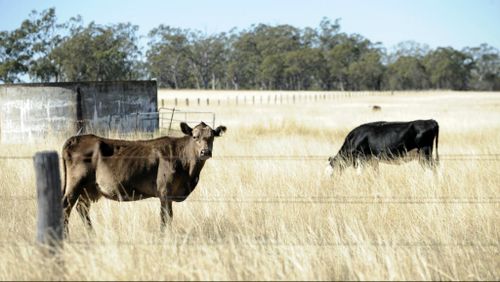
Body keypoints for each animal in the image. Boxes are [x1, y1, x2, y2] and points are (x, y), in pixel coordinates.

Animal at [61, 121, 227, 234]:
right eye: (194, 136)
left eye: (211, 137)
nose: (205, 152)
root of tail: (76, 139)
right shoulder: (165, 192)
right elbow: (165, 217)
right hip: (75, 184)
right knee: (66, 207)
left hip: (89, 189)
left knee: (82, 208)